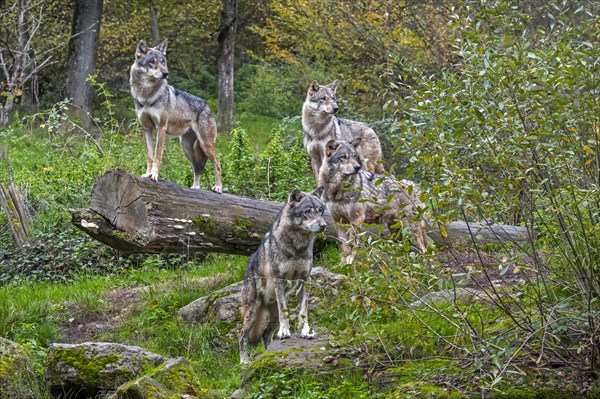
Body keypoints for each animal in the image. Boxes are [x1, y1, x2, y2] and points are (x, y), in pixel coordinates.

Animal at [131, 39, 223, 194]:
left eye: (163, 61)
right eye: (152, 62)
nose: (166, 73)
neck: (147, 96)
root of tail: (207, 106)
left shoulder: (161, 128)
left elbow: (157, 155)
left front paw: (154, 175)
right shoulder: (146, 129)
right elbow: (150, 156)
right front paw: (147, 174)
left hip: (205, 145)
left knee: (218, 164)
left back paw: (218, 187)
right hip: (187, 148)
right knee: (197, 168)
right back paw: (195, 188)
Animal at [238, 189, 326, 364]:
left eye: (320, 211)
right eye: (308, 211)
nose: (324, 225)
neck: (298, 246)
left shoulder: (305, 280)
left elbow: (303, 310)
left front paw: (305, 331)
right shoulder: (280, 280)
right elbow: (284, 310)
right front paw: (285, 331)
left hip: (271, 316)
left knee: (266, 334)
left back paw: (268, 354)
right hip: (252, 312)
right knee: (242, 336)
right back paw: (244, 361)